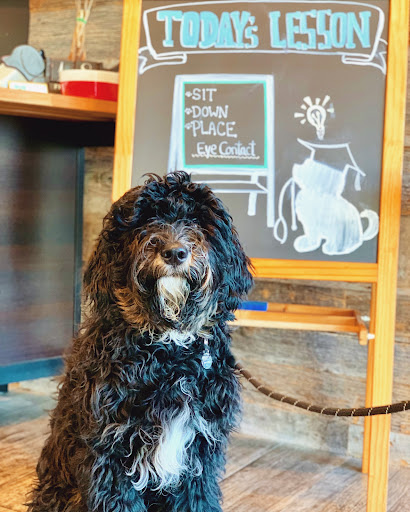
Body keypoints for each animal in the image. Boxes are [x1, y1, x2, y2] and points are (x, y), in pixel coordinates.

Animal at [28, 172, 253, 512]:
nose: (174, 252)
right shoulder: (109, 447)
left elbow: (196, 498)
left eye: (197, 220)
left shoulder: (201, 448)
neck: (169, 349)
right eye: (146, 219)